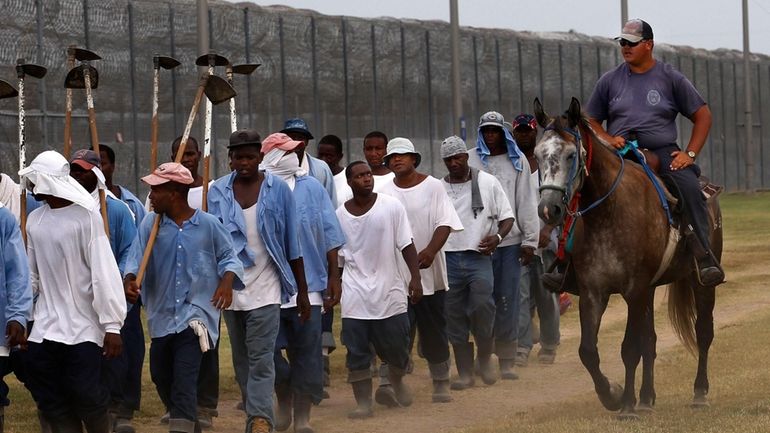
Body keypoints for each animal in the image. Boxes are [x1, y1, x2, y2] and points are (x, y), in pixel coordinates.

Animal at [532, 96, 716, 416]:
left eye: (571, 155)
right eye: (537, 154)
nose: (548, 209)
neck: (609, 213)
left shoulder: (634, 290)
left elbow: (630, 349)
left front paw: (626, 405)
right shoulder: (594, 292)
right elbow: (589, 351)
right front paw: (614, 395)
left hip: (700, 281)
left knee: (703, 332)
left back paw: (699, 393)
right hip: (651, 290)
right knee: (650, 341)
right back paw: (646, 398)